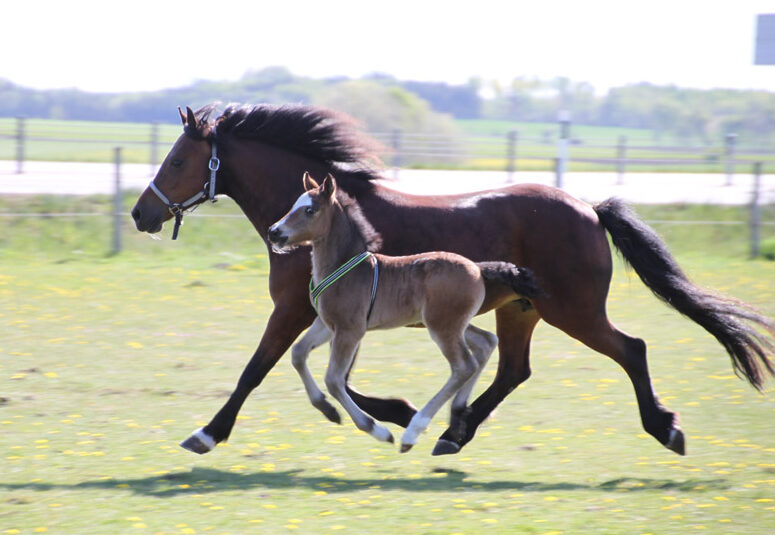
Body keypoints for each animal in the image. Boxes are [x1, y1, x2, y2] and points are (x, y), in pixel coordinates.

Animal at [130, 103, 772, 456]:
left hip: (574, 310)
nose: (141, 214)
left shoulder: (296, 310)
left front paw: (208, 433)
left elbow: (259, 369)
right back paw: (453, 432)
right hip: (520, 310)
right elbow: (324, 374)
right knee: (513, 369)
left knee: (630, 349)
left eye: (178, 160)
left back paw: (665, 428)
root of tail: (589, 208)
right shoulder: (329, 316)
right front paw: (391, 413)